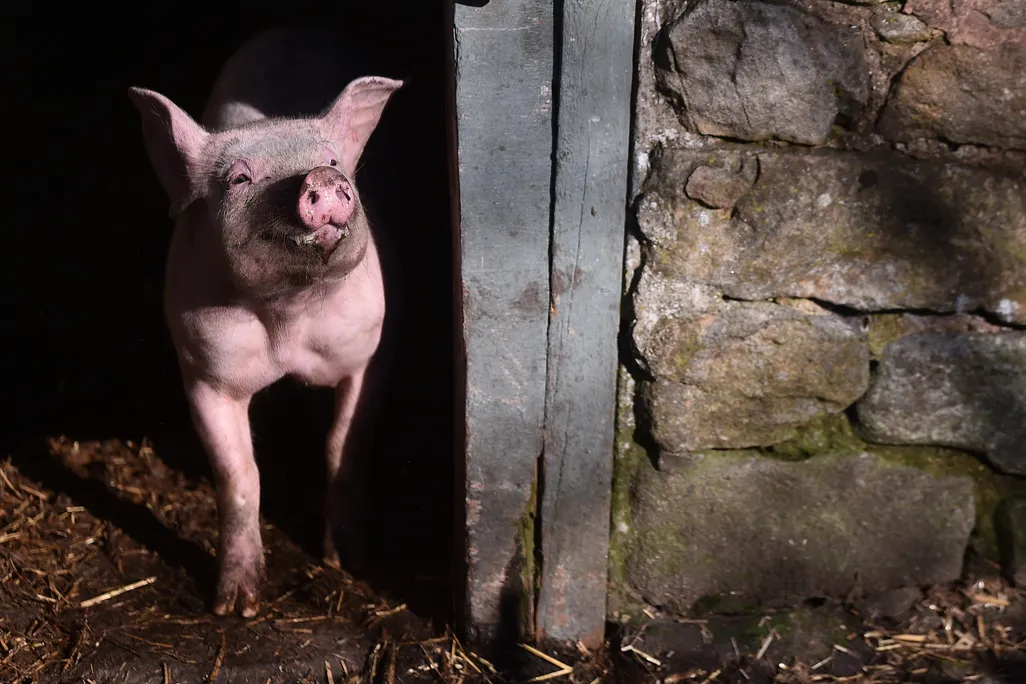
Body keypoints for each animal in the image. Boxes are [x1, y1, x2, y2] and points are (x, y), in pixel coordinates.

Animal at [128, 28, 403, 617]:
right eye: (239, 178)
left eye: (332, 158)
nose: (323, 176)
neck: (287, 315)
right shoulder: (204, 370)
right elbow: (238, 476)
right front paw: (237, 608)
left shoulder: (369, 352)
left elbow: (343, 445)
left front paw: (345, 562)